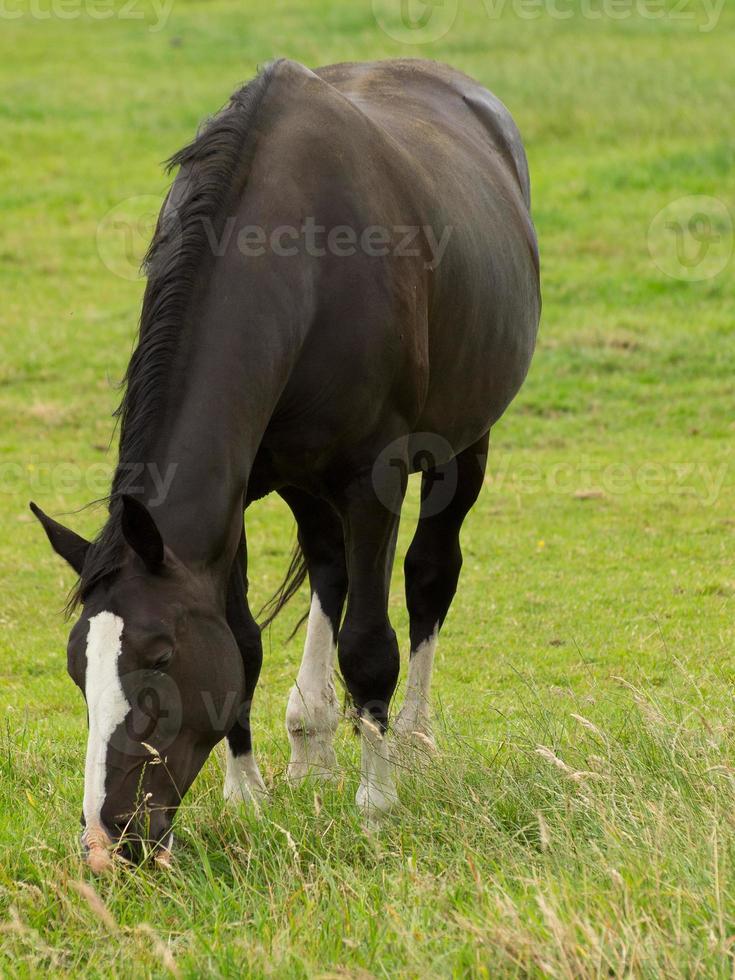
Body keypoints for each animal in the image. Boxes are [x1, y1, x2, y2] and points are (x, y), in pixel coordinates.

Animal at [31, 57, 540, 868]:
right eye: (80, 667)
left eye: (161, 657)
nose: (108, 841)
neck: (304, 255)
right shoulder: (236, 494)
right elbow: (243, 642)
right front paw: (249, 795)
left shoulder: (373, 480)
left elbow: (370, 646)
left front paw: (376, 804)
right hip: (305, 479)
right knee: (329, 570)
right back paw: (311, 745)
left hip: (465, 446)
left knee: (430, 574)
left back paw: (412, 740)